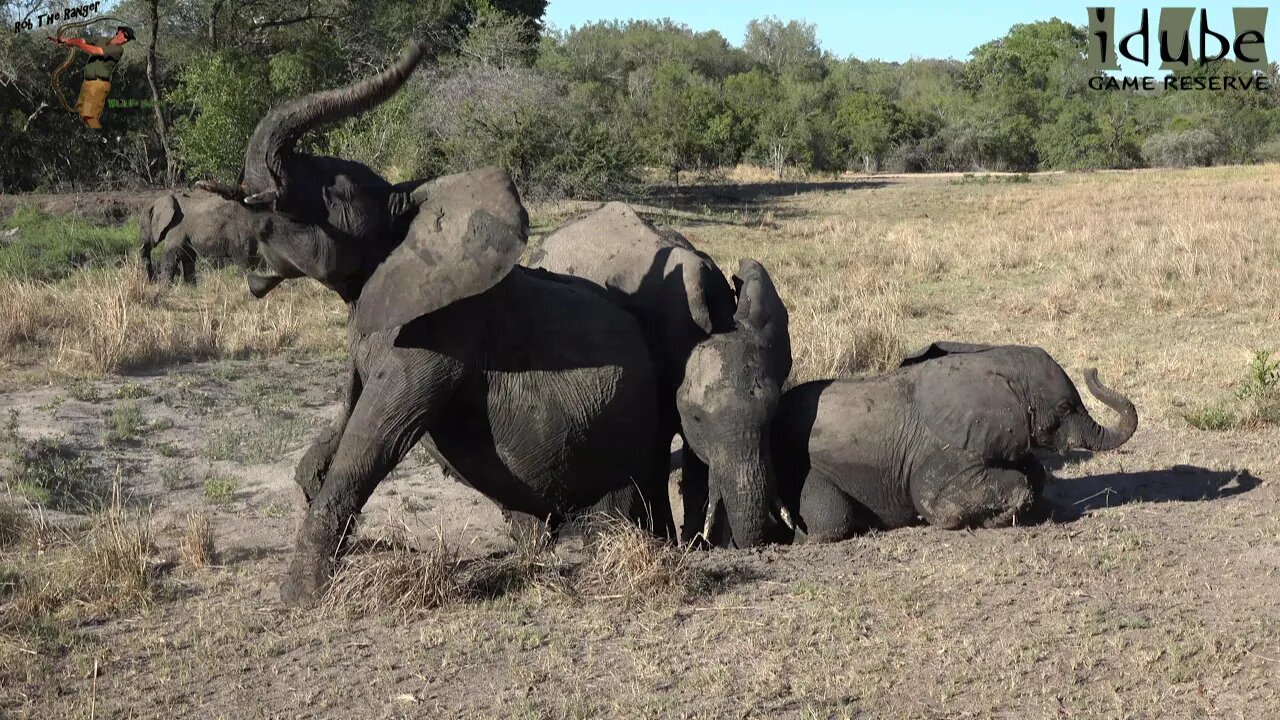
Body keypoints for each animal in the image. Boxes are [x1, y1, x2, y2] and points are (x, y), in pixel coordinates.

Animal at [768, 340, 1141, 538]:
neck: (995, 363)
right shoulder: (945, 445)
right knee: (832, 522)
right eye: (1065, 408)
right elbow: (931, 496)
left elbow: (1034, 473)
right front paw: (993, 520)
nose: (1092, 370)